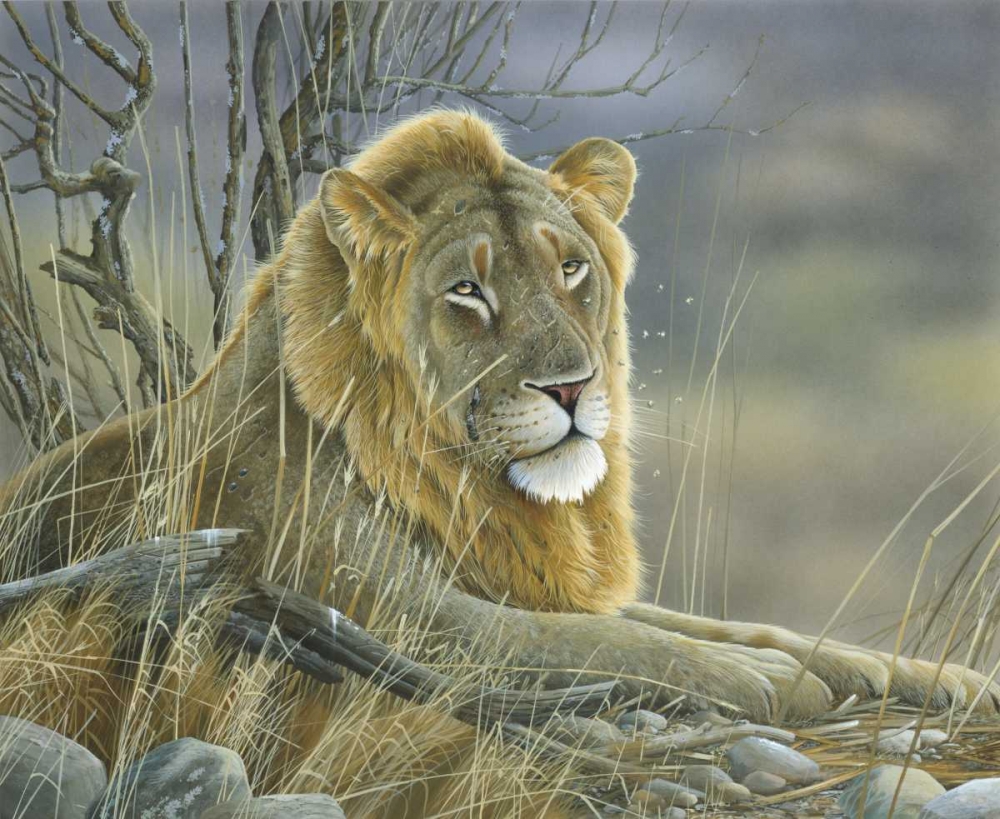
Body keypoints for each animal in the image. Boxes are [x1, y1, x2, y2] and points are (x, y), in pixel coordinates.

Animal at [2, 108, 997, 727]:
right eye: (467, 292)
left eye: (572, 268)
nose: (571, 389)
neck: (470, 486)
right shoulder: (395, 610)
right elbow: (610, 640)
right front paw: (772, 681)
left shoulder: (511, 585)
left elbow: (716, 624)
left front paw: (924, 674)